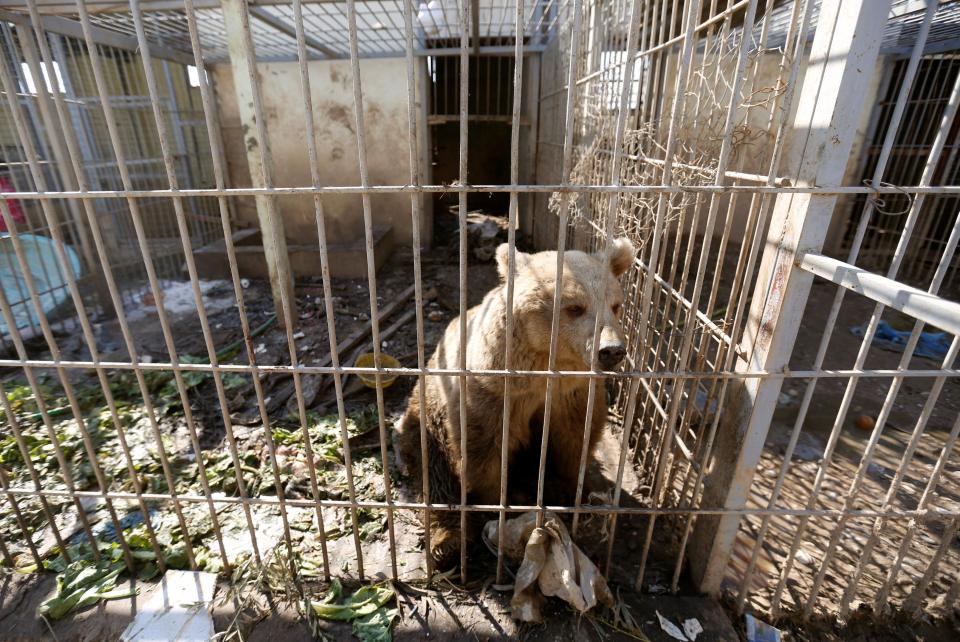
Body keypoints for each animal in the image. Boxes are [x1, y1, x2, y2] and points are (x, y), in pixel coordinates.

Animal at [396, 239, 636, 564]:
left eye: (615, 305)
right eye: (575, 307)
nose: (612, 350)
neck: (545, 367)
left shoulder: (573, 394)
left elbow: (574, 442)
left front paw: (568, 489)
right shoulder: (493, 393)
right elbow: (485, 451)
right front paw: (499, 501)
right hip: (428, 408)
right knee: (435, 471)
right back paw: (448, 543)